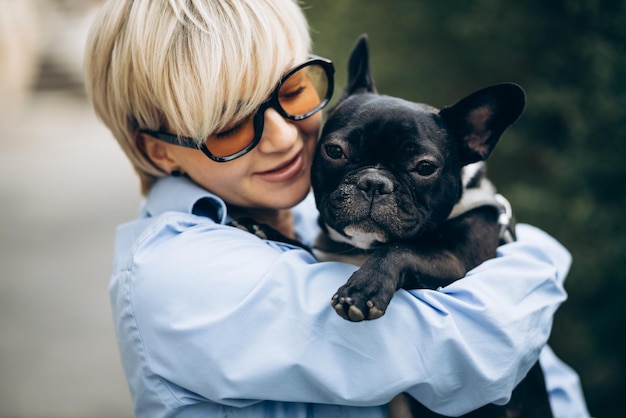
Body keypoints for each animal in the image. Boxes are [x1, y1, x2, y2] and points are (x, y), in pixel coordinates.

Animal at [310, 36, 548, 418]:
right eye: (334, 151)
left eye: (424, 167)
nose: (374, 182)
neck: (363, 248)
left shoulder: (455, 262)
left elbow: (400, 248)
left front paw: (363, 289)